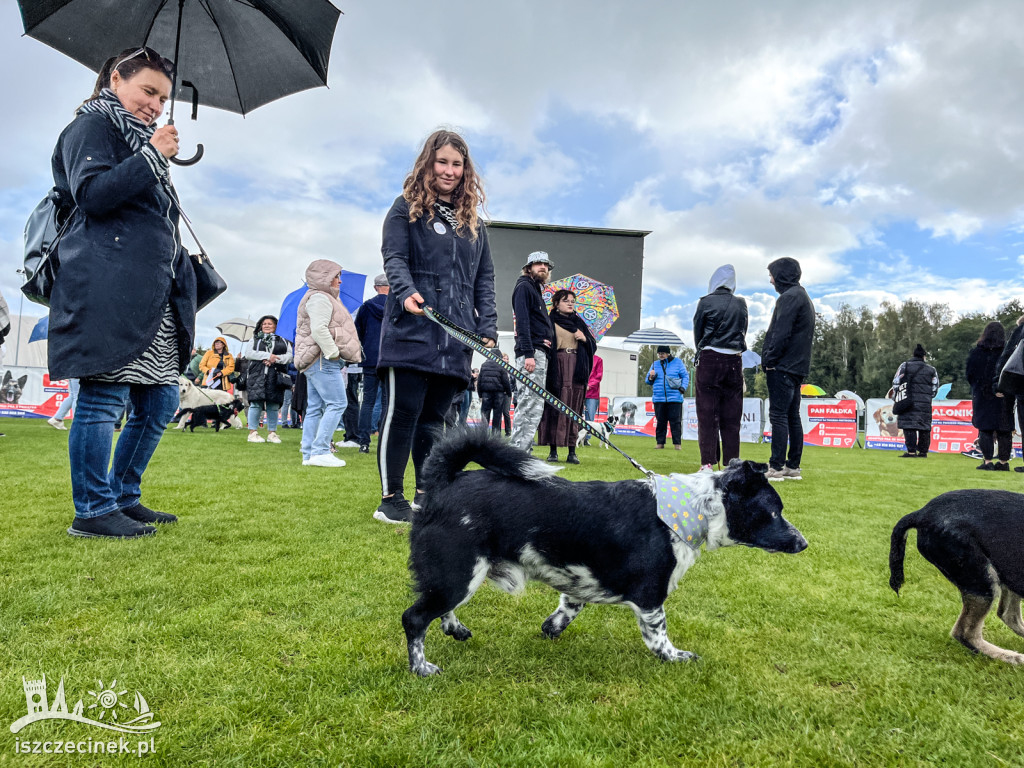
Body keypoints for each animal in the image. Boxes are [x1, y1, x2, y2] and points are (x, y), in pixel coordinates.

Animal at [399, 430, 806, 675]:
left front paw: (550, 630)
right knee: (415, 618)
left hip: (458, 576)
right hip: (459, 572)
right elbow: (659, 637)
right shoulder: (650, 596)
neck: (692, 508)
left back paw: (455, 628)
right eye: (774, 512)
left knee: (438, 608)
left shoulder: (578, 584)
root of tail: (444, 484)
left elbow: (565, 611)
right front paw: (676, 657)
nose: (804, 543)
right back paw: (421, 668)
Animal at [888, 493, 1024, 667]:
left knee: (1008, 615)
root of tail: (921, 513)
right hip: (981, 579)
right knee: (965, 632)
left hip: (1005, 570)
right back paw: (1010, 657)